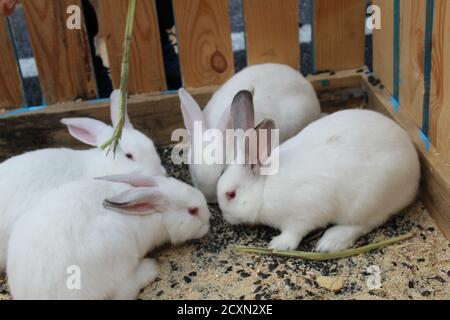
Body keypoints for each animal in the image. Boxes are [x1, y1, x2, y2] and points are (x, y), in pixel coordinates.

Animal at [7, 172, 211, 300]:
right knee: (123, 292)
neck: (155, 214)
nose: (208, 226)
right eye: (192, 211)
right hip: (120, 253)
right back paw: (150, 268)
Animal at [216, 92, 420, 252]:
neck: (264, 187)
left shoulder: (302, 214)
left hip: (368, 200)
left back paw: (330, 242)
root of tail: (415, 171)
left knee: (365, 223)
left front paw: (278, 244)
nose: (226, 217)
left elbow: (294, 232)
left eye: (231, 195)